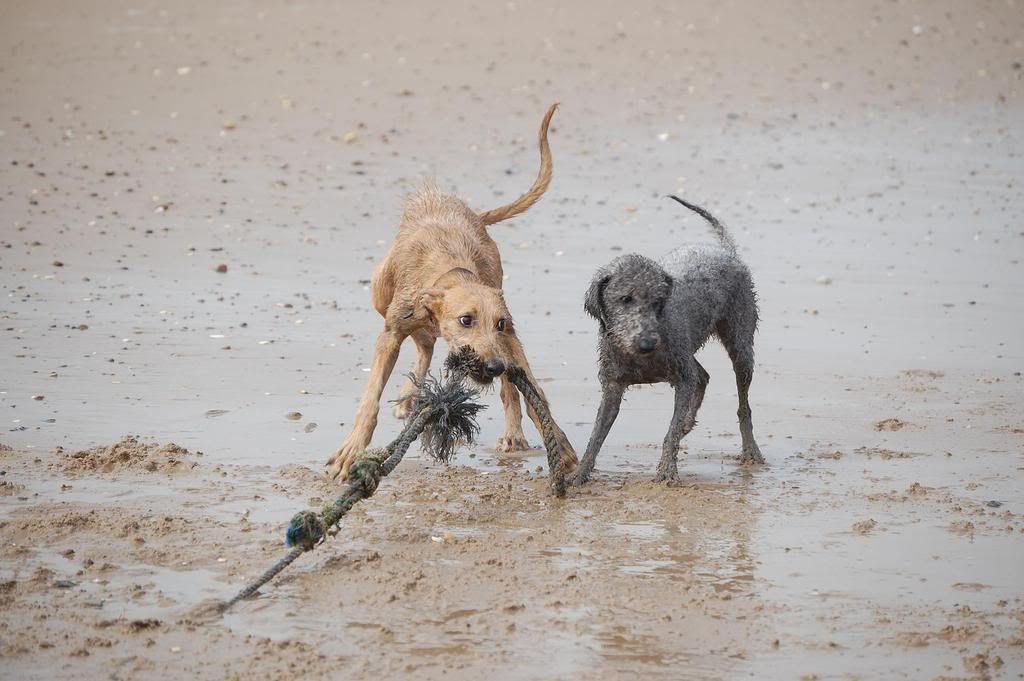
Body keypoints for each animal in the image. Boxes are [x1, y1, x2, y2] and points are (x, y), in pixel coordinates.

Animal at [331, 104, 581, 477]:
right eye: (466, 320)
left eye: (499, 323)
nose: (493, 367)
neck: (454, 271)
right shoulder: (392, 331)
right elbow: (370, 397)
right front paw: (352, 449)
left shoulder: (509, 337)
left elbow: (533, 395)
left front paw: (561, 448)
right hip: (380, 293)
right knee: (424, 343)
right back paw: (409, 395)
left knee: (471, 368)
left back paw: (510, 433)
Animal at [573, 196, 765, 483]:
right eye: (625, 298)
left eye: (658, 301)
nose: (648, 344)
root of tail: (727, 252)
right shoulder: (612, 388)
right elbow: (596, 436)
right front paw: (579, 473)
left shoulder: (683, 378)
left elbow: (670, 433)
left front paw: (666, 469)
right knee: (703, 376)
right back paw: (688, 421)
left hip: (740, 345)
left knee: (743, 406)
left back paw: (750, 449)